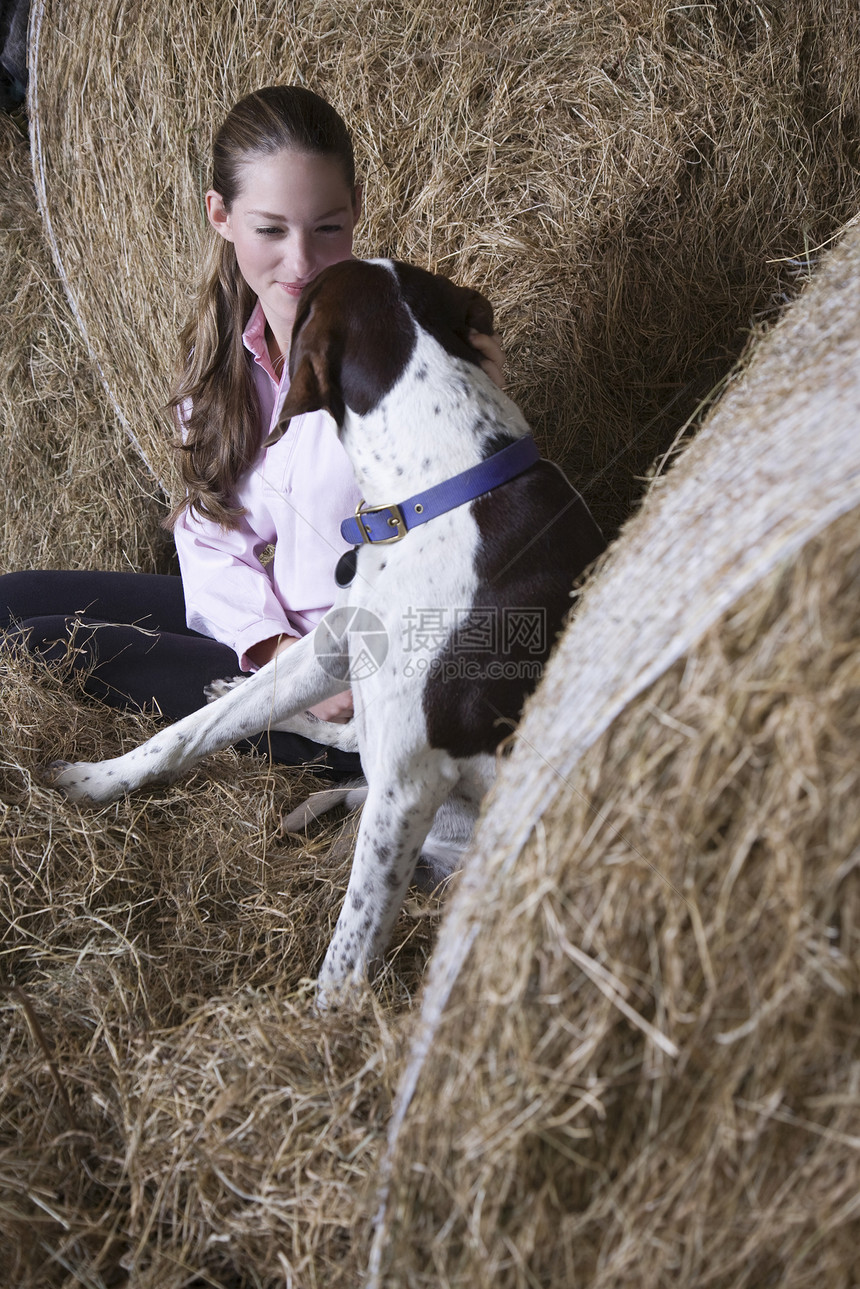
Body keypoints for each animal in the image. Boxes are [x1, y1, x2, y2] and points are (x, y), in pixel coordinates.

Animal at [48, 261, 605, 1005]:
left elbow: (347, 954)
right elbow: (188, 732)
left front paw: (327, 1022)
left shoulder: (408, 778)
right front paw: (96, 778)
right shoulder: (335, 646)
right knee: (324, 730)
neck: (440, 490)